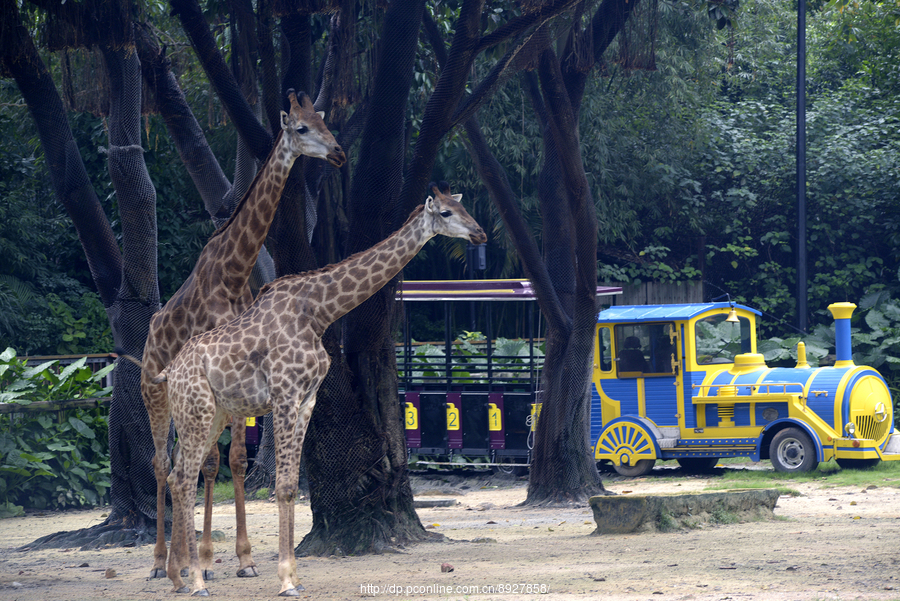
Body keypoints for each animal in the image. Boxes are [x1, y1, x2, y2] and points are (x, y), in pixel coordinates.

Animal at [141, 91, 344, 584]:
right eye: (302, 129)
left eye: (324, 122)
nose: (338, 154)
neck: (234, 271)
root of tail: (149, 336)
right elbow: (215, 463)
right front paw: (208, 559)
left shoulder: (239, 381)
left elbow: (231, 461)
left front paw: (243, 559)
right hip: (156, 399)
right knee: (161, 464)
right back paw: (160, 562)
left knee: (184, 462)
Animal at [153, 184, 486, 596]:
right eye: (445, 213)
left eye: (463, 207)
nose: (480, 234)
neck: (319, 311)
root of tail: (170, 371)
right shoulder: (283, 394)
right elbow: (282, 485)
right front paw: (284, 580)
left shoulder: (306, 399)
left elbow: (292, 487)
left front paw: (293, 576)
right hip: (196, 413)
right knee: (184, 476)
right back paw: (196, 580)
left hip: (210, 415)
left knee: (178, 474)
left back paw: (178, 576)